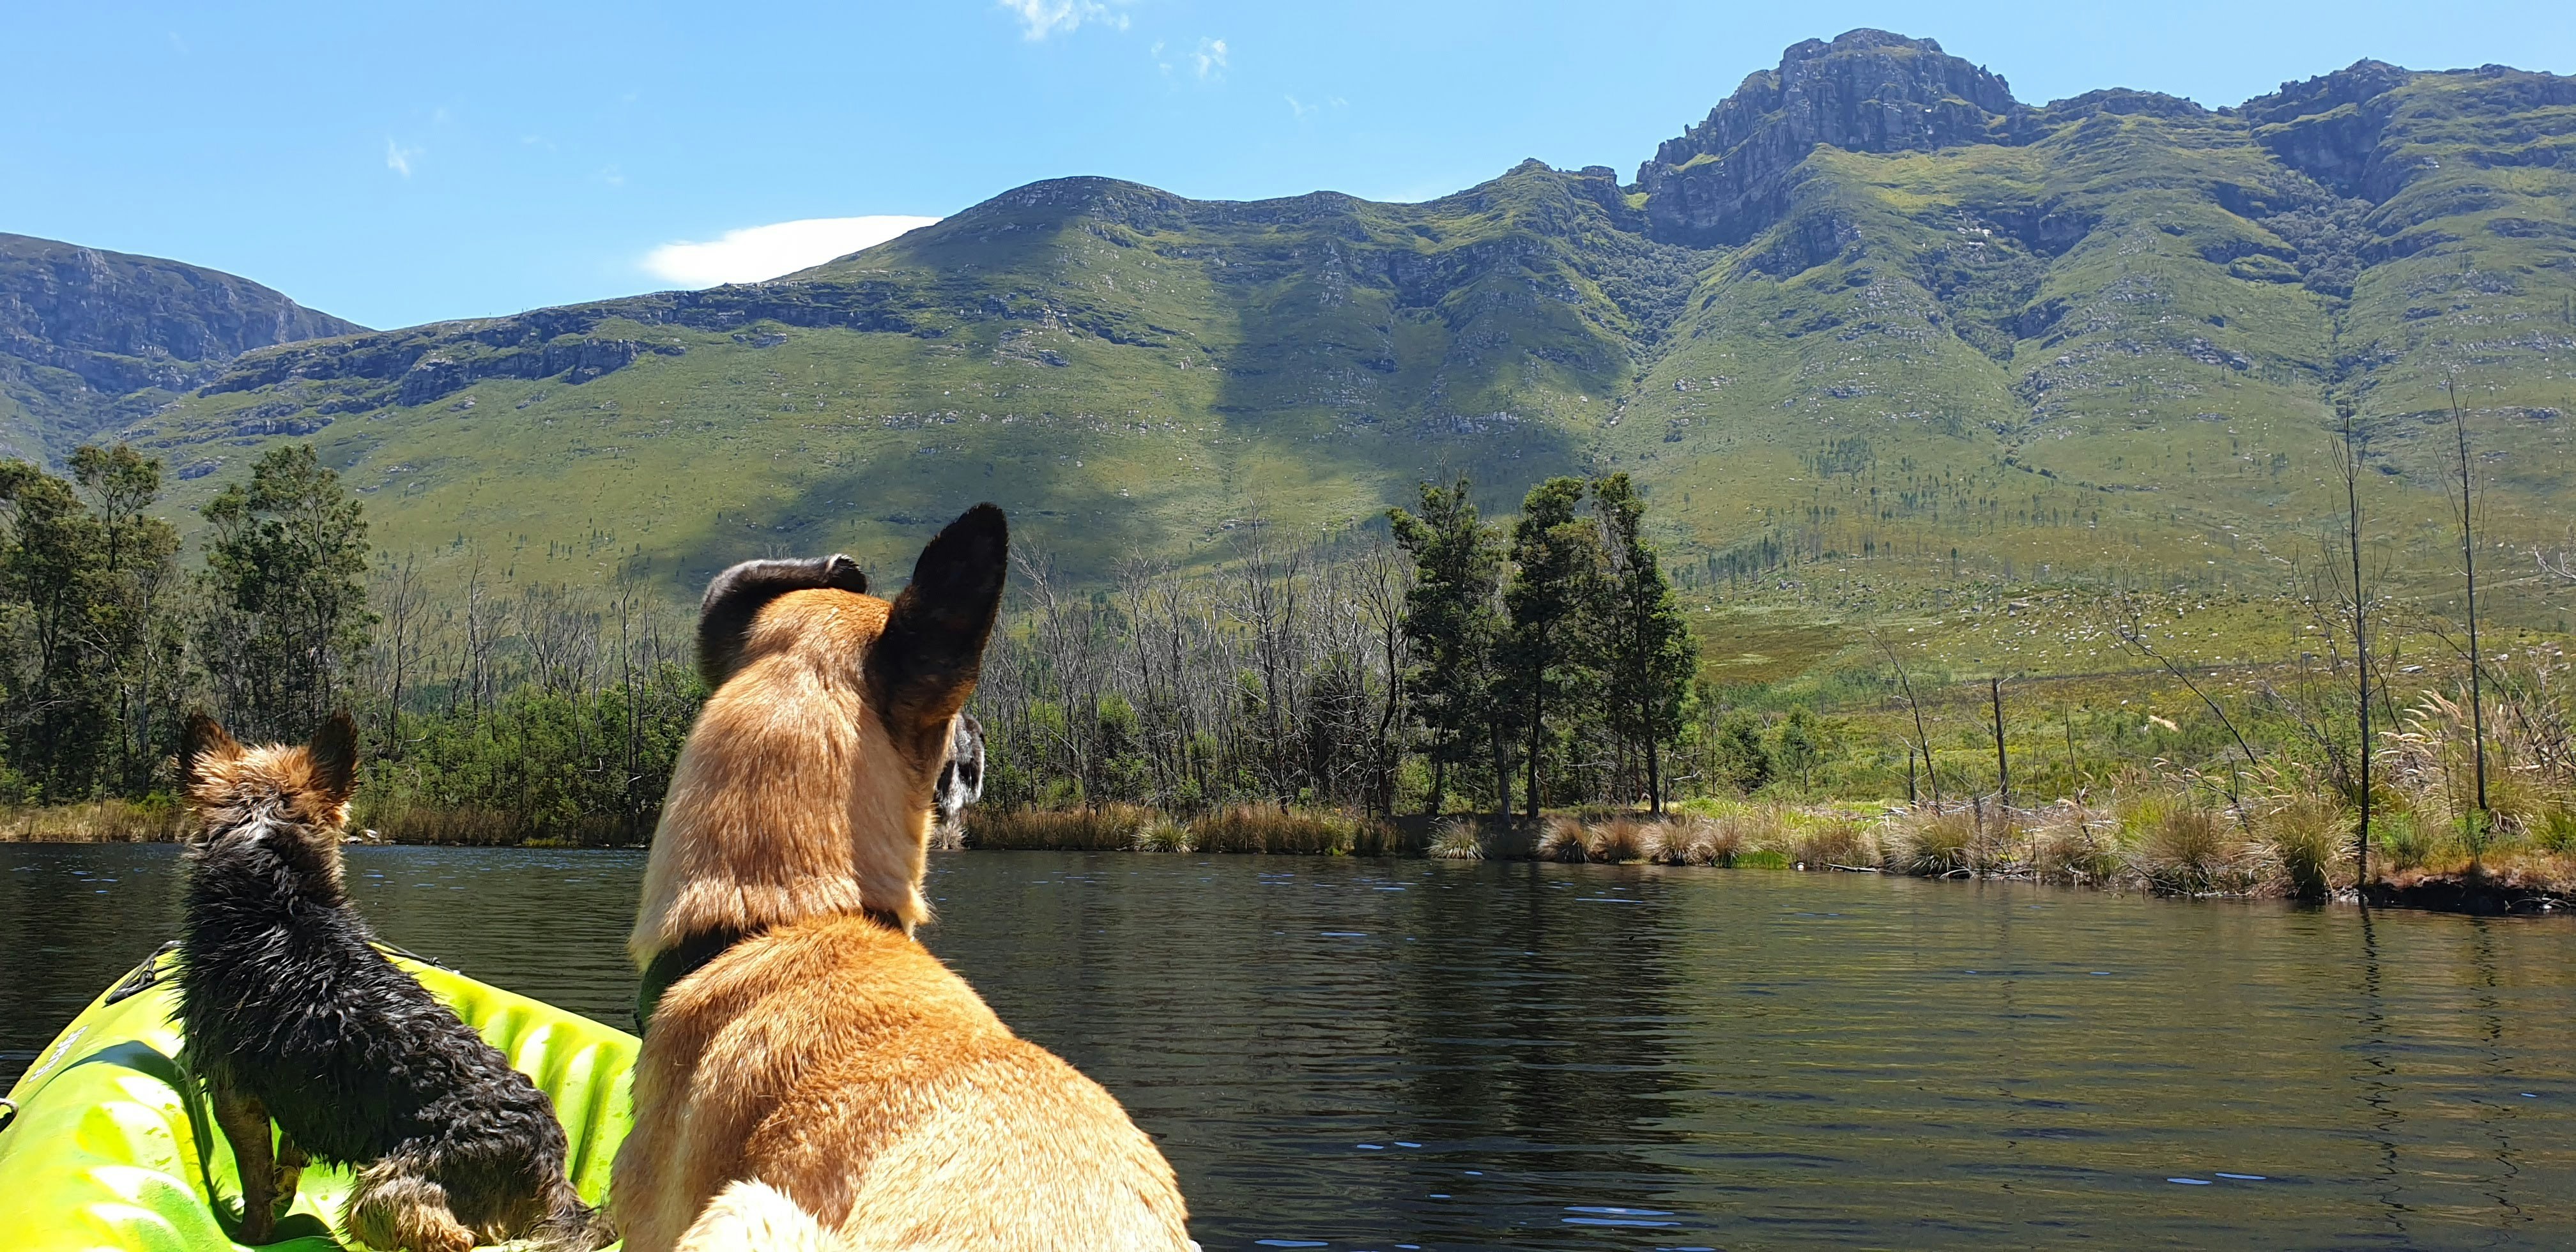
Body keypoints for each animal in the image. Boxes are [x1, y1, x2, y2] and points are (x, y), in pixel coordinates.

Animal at [175, 712, 608, 1252]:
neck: (280, 901)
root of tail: (548, 1168)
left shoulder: (232, 1088)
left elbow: (253, 1177)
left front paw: (250, 1234)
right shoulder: (302, 1094)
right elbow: (289, 1153)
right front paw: (284, 1190)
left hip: (382, 1190)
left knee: (453, 1236)